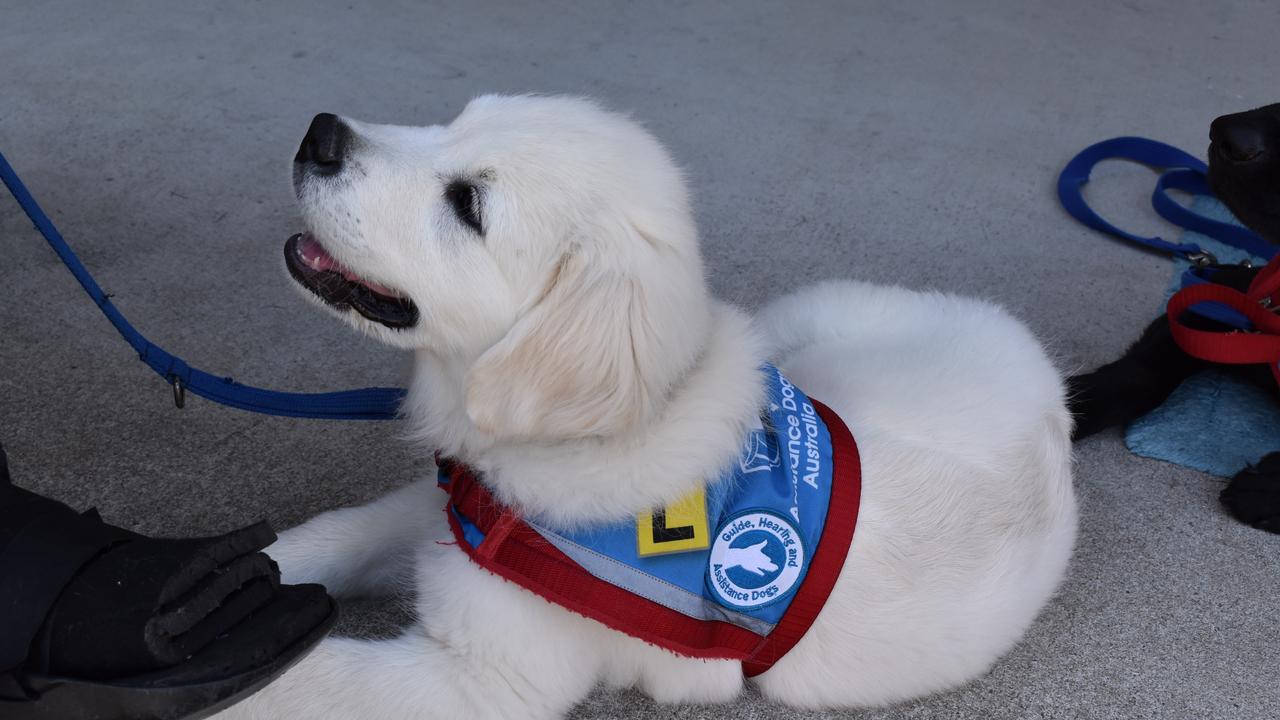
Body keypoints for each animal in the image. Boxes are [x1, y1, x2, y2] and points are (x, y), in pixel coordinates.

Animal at [215, 95, 1075, 717]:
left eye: (467, 205)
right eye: (455, 119)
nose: (320, 133)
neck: (596, 436)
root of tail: (1057, 401)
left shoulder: (480, 680)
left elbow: (305, 681)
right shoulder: (454, 512)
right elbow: (337, 534)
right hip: (793, 324)